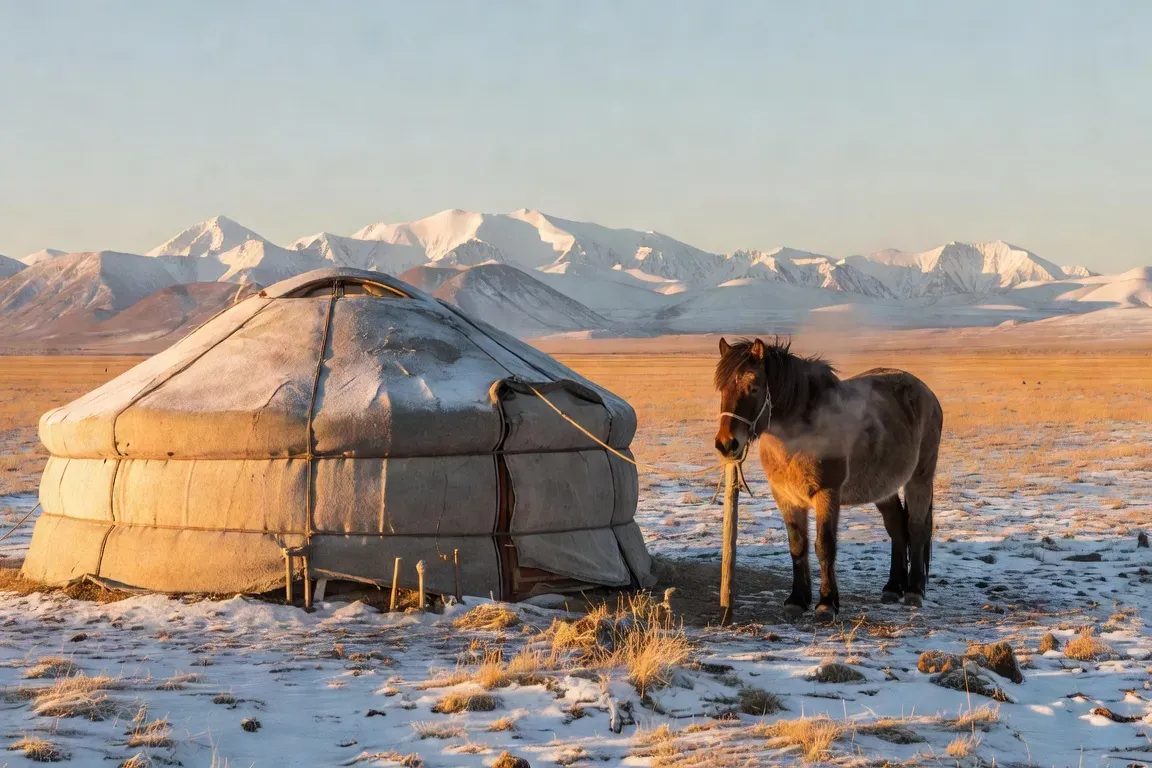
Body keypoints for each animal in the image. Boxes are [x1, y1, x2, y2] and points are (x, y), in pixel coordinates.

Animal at [713, 337, 943, 622]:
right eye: (722, 389)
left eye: (754, 388)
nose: (726, 444)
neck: (798, 435)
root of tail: (927, 393)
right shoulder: (785, 496)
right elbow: (797, 546)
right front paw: (797, 600)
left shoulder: (827, 493)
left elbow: (824, 545)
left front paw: (826, 603)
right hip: (882, 486)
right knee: (897, 526)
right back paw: (892, 588)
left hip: (919, 479)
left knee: (917, 528)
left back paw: (914, 591)